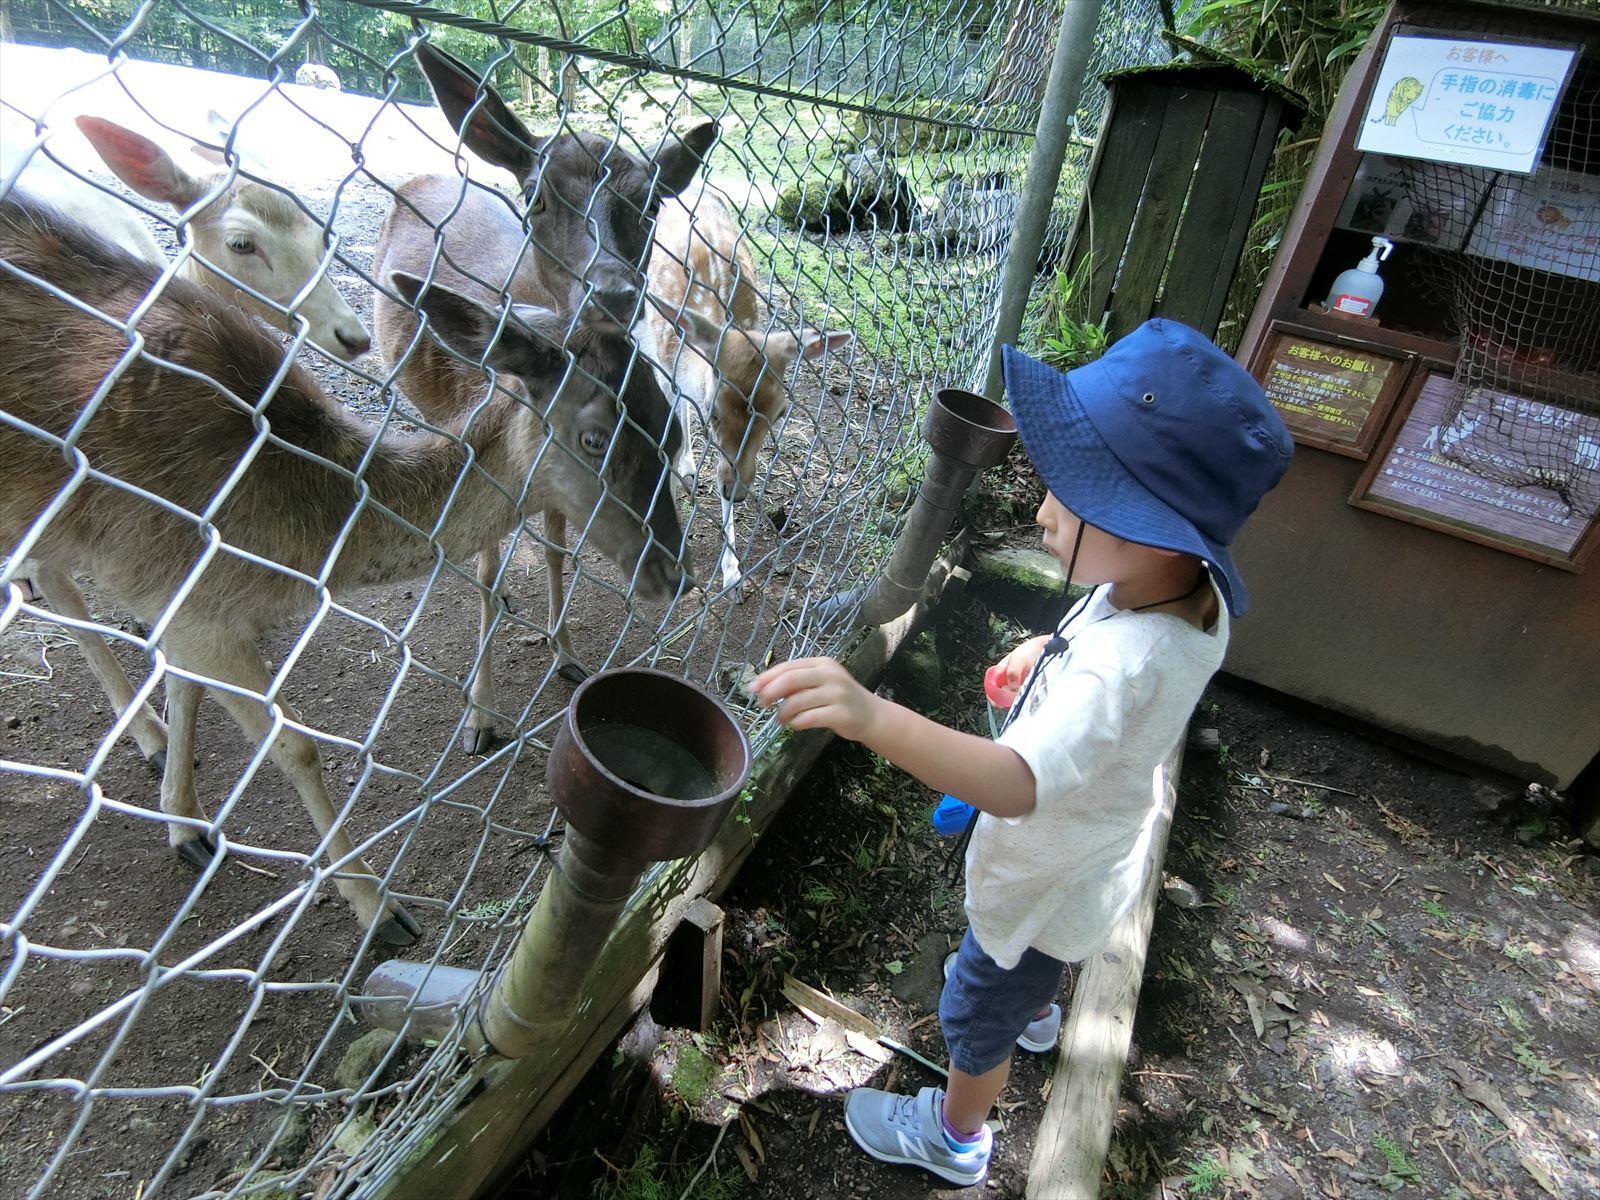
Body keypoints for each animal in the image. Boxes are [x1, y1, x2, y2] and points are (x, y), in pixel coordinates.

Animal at [371, 42, 716, 755]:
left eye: (652, 205)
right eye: (535, 197)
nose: (613, 291)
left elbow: (558, 546)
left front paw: (566, 653)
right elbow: (486, 568)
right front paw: (479, 717)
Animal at [643, 184, 857, 601]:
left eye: (780, 413)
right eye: (712, 411)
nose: (737, 491)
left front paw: (733, 574)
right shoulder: (666, 370)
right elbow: (671, 439)